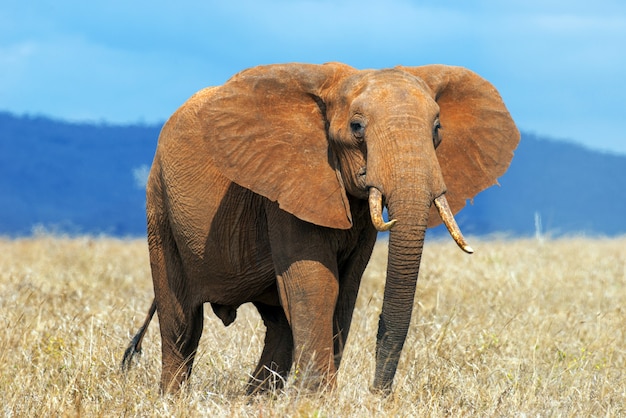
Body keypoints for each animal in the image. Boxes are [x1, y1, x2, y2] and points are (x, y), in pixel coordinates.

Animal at [120, 62, 516, 396]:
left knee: (279, 326)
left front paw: (313, 398)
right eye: (356, 128)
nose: (378, 395)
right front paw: (318, 400)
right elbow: (316, 284)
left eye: (437, 130)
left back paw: (254, 401)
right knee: (183, 324)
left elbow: (345, 290)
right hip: (160, 203)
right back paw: (174, 399)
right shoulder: (287, 184)